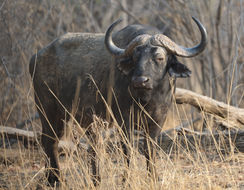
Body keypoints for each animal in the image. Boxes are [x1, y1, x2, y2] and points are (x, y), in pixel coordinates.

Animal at [29, 17, 207, 186]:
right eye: (135, 57)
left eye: (160, 57)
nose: (140, 80)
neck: (146, 99)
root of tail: (36, 56)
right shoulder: (123, 120)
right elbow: (128, 150)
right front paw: (126, 180)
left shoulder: (158, 120)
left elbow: (150, 150)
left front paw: (153, 178)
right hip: (49, 111)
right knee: (49, 141)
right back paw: (56, 179)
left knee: (87, 146)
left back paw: (90, 179)